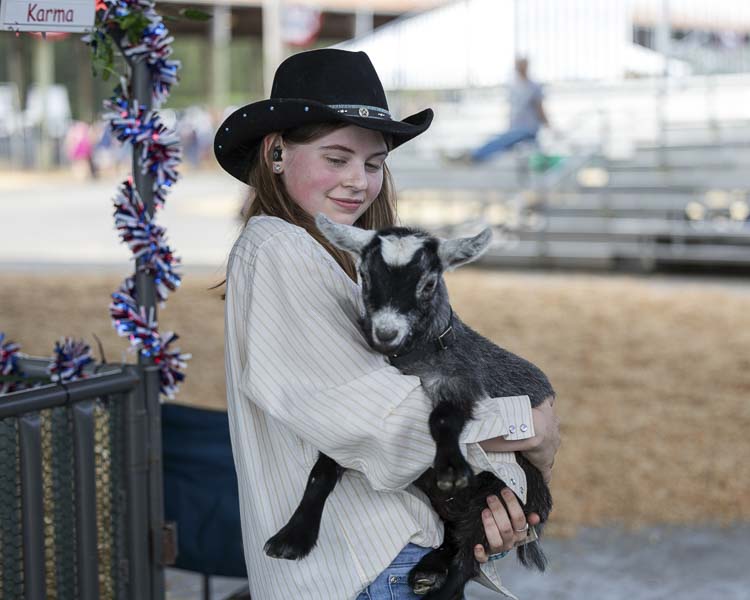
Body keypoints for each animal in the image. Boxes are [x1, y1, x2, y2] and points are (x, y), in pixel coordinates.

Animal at [264, 217, 552, 600]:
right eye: (365, 275)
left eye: (428, 283)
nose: (386, 333)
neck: (415, 355)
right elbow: (324, 467)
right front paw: (292, 537)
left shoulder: (458, 383)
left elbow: (442, 418)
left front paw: (450, 467)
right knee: (454, 538)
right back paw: (429, 569)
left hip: (502, 496)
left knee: (468, 558)